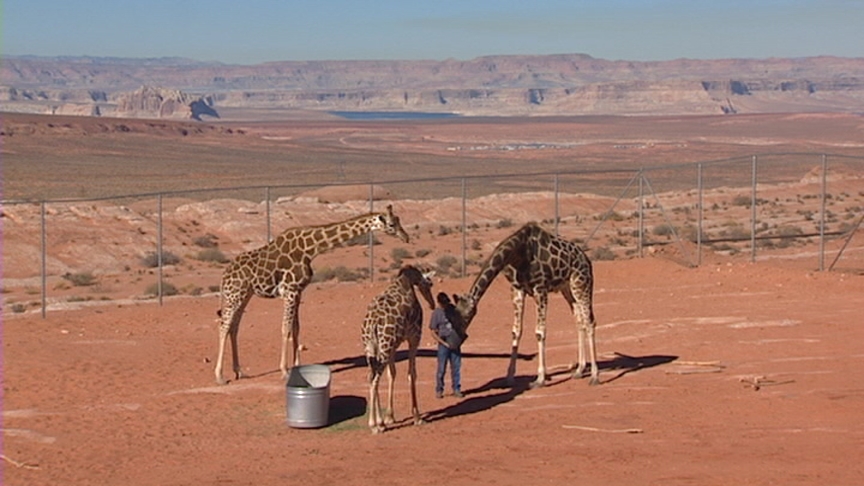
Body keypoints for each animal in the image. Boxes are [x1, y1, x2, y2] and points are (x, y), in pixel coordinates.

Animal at [214, 205, 410, 385]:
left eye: (399, 220)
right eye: (392, 224)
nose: (406, 237)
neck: (310, 249)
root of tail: (224, 276)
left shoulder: (298, 291)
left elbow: (296, 328)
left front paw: (297, 366)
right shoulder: (290, 290)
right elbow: (285, 328)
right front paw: (284, 371)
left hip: (245, 295)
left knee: (234, 327)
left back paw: (240, 372)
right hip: (234, 294)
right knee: (224, 326)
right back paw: (220, 376)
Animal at [361, 265, 435, 434]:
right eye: (430, 284)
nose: (432, 304)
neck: (409, 280)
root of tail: (372, 323)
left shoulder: (394, 346)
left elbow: (392, 374)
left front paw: (389, 417)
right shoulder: (414, 337)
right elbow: (411, 374)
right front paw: (417, 417)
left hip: (372, 348)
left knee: (371, 376)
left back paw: (380, 423)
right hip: (385, 346)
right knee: (375, 379)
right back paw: (374, 425)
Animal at [453, 222, 600, 388]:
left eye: (468, 316)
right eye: (453, 314)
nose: (458, 335)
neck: (517, 252)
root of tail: (586, 259)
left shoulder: (540, 288)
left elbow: (540, 332)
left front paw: (540, 378)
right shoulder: (517, 289)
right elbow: (516, 331)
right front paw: (509, 377)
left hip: (581, 284)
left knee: (590, 321)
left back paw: (594, 376)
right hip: (567, 288)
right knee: (580, 320)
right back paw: (579, 370)